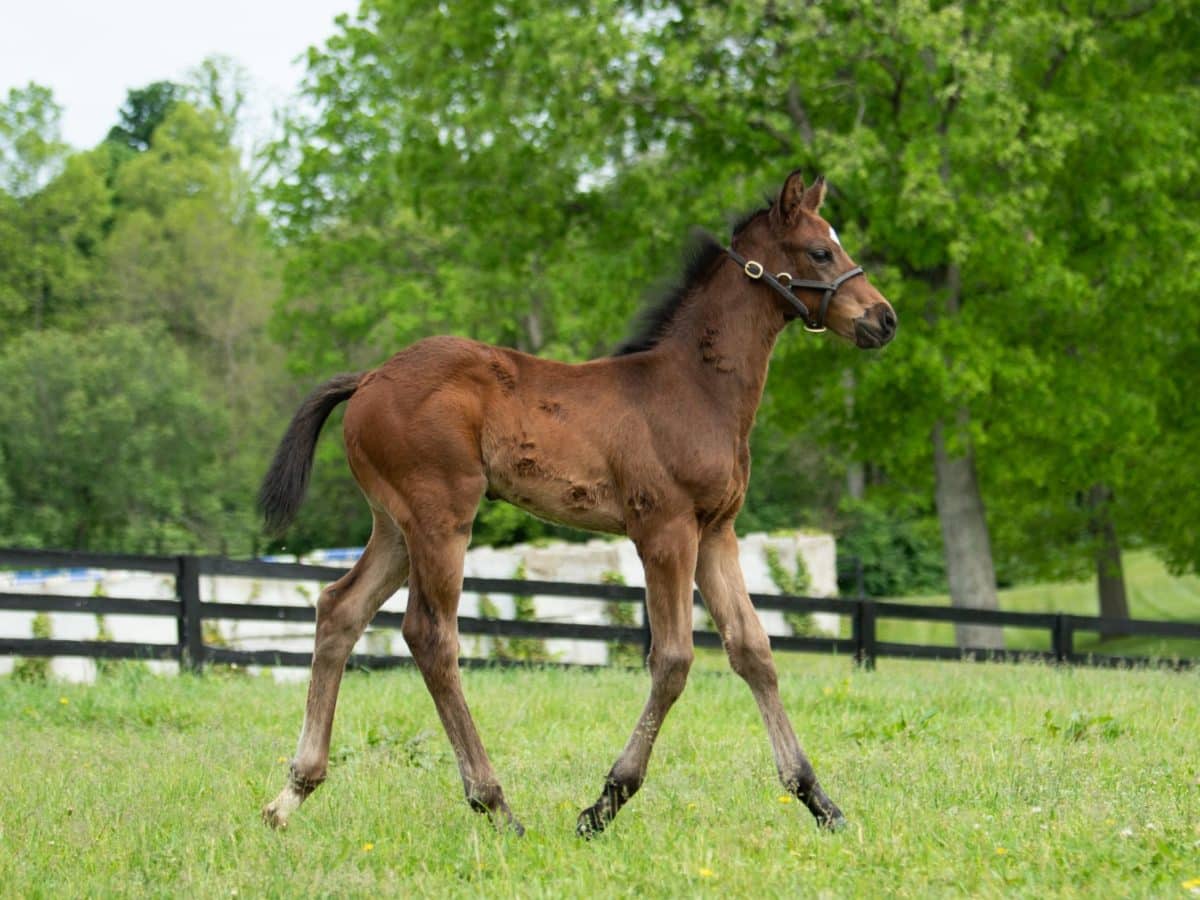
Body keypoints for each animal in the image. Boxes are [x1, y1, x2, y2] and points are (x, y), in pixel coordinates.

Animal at [265, 170, 902, 840]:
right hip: (440, 518)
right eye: (820, 251)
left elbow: (753, 650)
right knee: (430, 636)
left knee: (340, 608)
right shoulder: (664, 531)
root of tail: (368, 380)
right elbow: (673, 659)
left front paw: (818, 800)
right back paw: (495, 805)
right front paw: (605, 802)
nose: (883, 320)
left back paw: (293, 793)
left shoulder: (717, 531)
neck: (696, 389)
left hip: (394, 526)